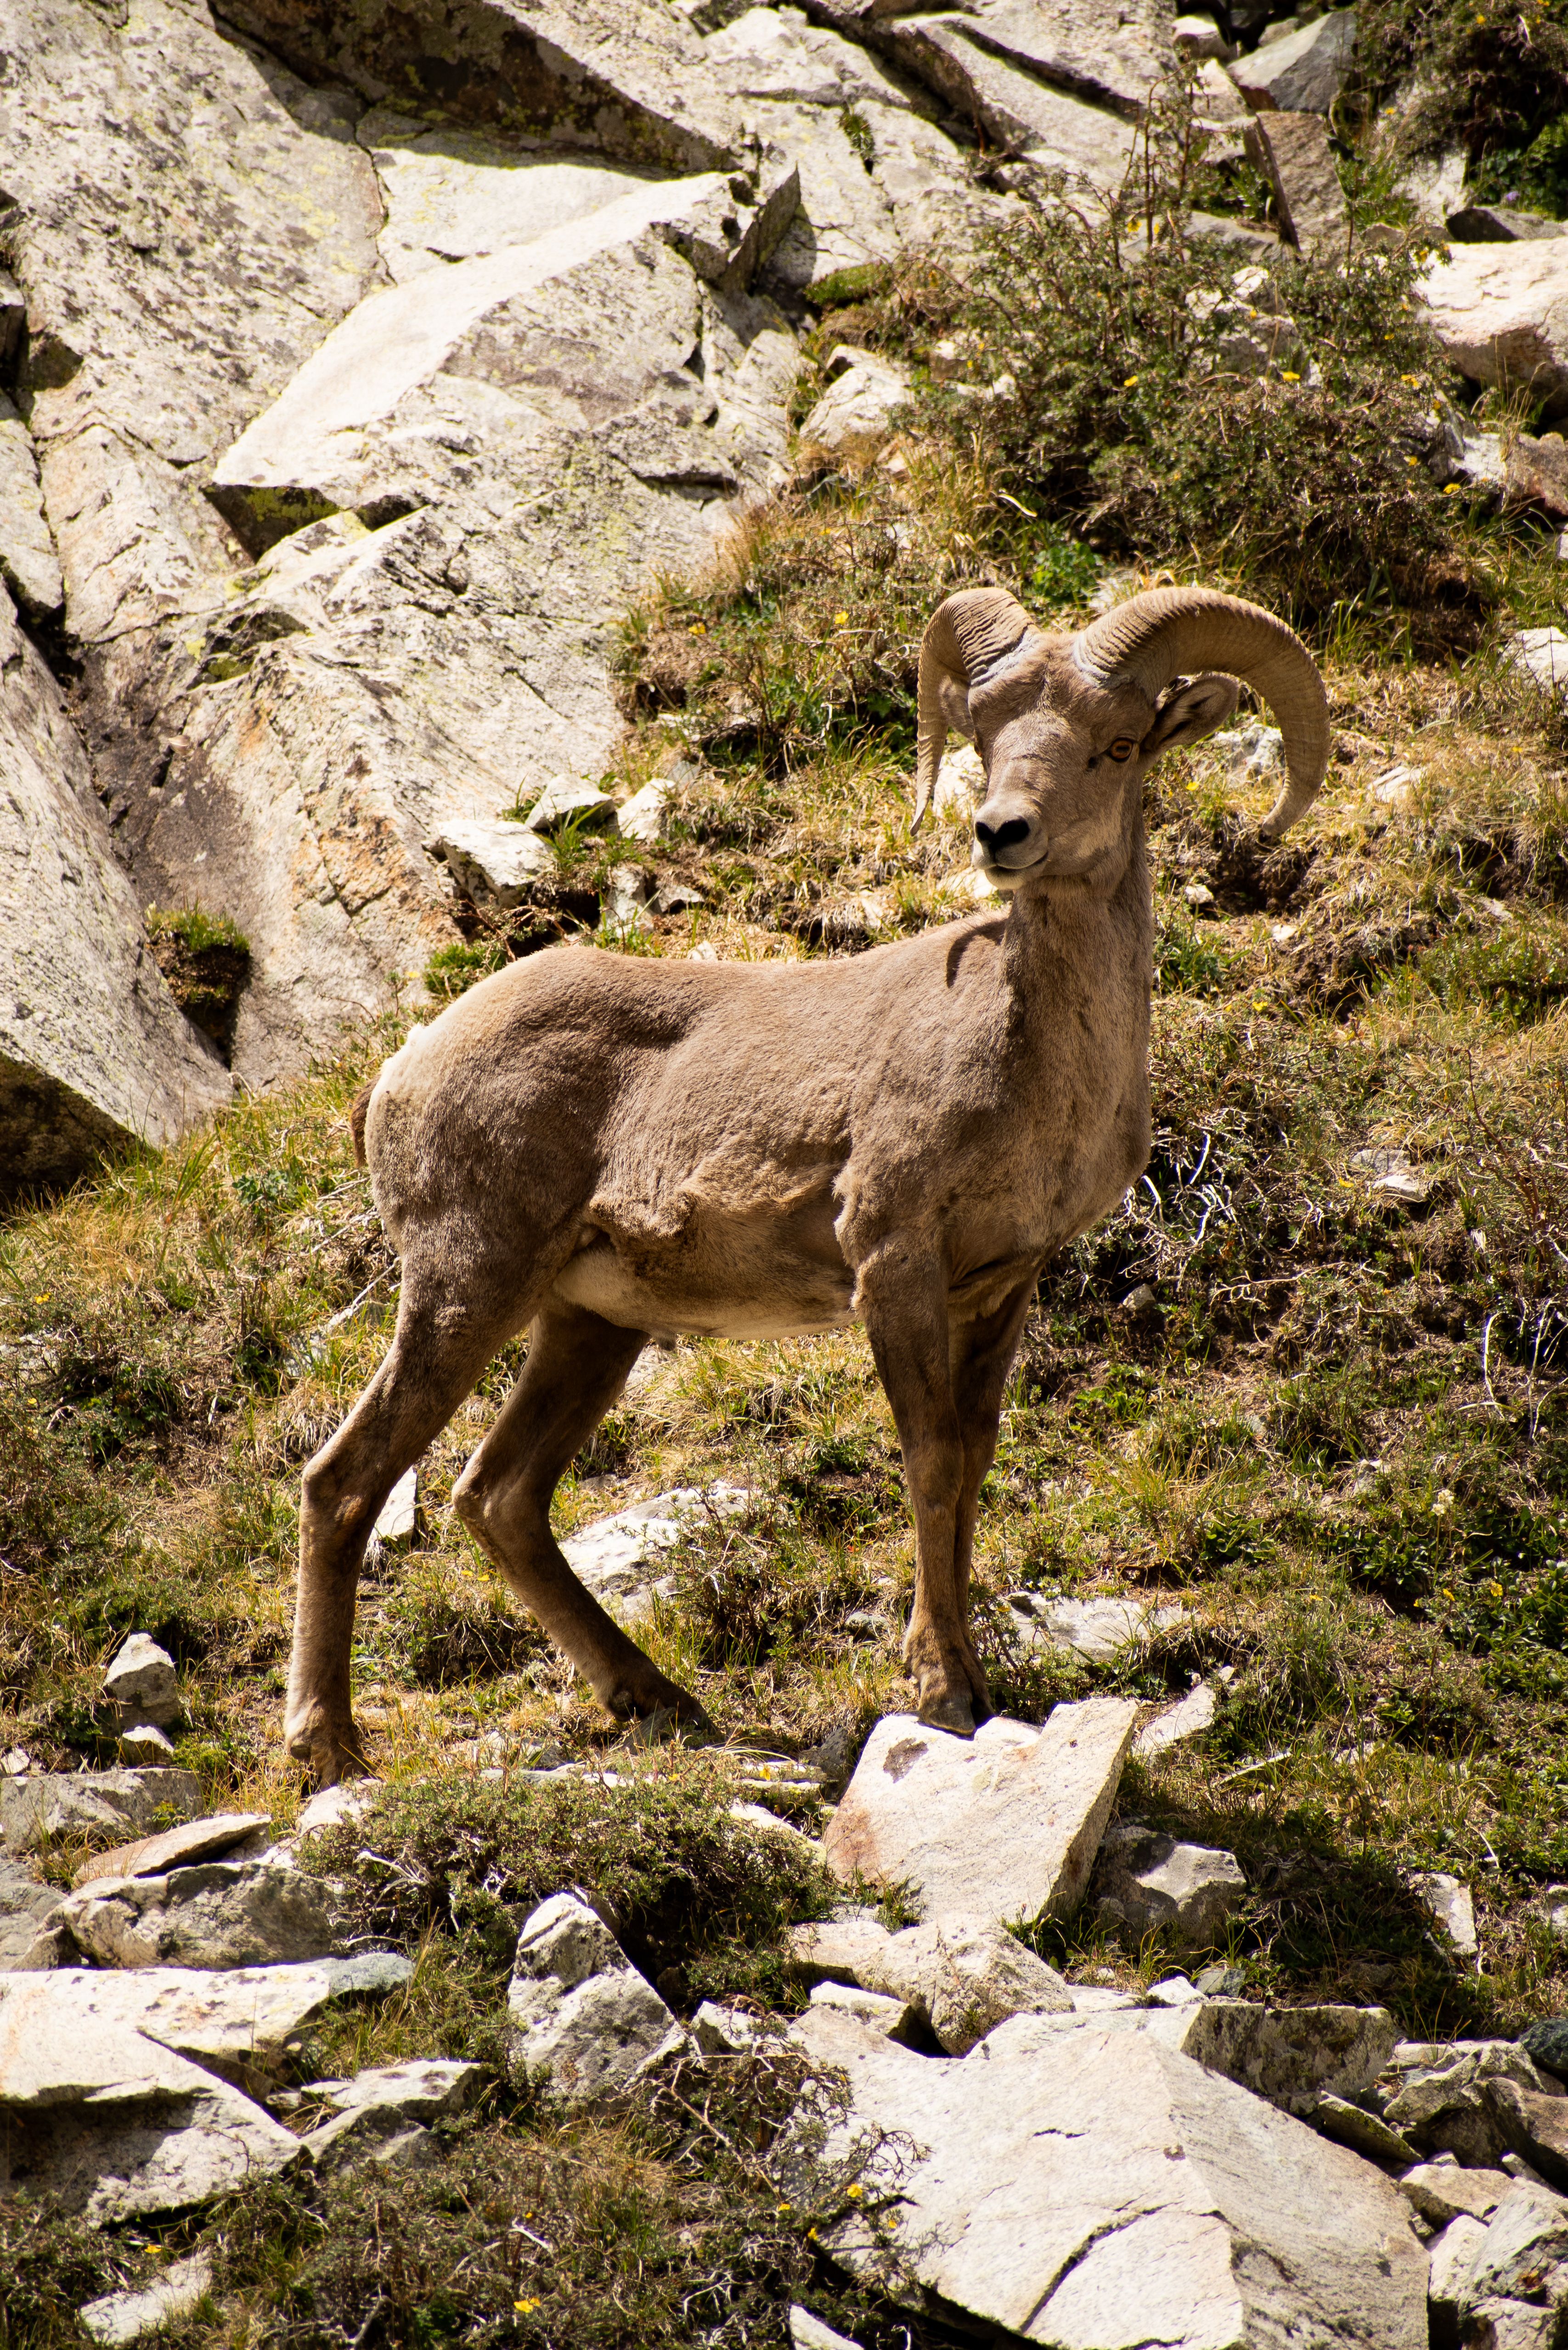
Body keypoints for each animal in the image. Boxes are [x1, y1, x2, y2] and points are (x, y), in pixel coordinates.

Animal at [286, 583, 1329, 1785]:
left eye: (1115, 747)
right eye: (984, 738)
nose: (1001, 833)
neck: (1028, 1059)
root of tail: (398, 1072)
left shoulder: (1001, 1285)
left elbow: (974, 1461)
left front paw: (975, 1679)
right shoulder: (894, 1267)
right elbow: (930, 1461)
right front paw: (944, 1689)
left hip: (588, 1325)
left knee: (498, 1496)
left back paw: (658, 1699)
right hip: (467, 1286)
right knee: (345, 1481)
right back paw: (329, 1748)